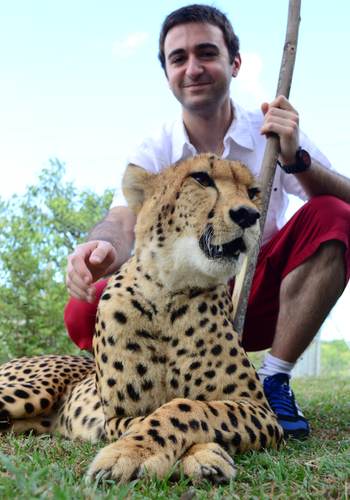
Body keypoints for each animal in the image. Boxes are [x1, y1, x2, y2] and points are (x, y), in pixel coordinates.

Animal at [0, 154, 284, 482]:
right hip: (32, 391)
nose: (249, 215)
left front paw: (190, 454)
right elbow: (160, 413)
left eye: (253, 192)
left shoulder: (260, 410)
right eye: (201, 178)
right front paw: (133, 452)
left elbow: (187, 407)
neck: (168, 294)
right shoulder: (115, 417)